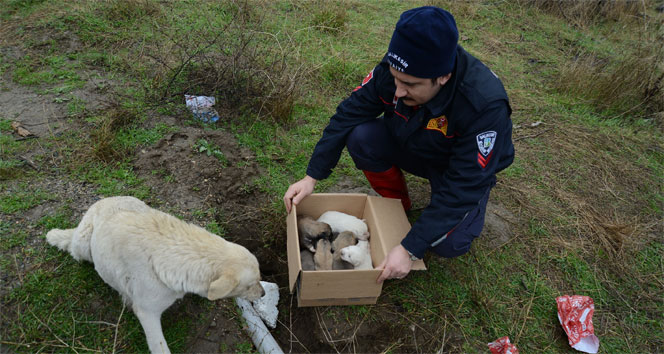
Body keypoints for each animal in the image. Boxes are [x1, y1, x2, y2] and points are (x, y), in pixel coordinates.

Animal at [45, 196, 264, 354]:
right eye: (250, 285)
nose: (262, 294)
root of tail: (103, 200)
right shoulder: (147, 312)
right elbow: (160, 347)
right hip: (83, 245)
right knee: (73, 246)